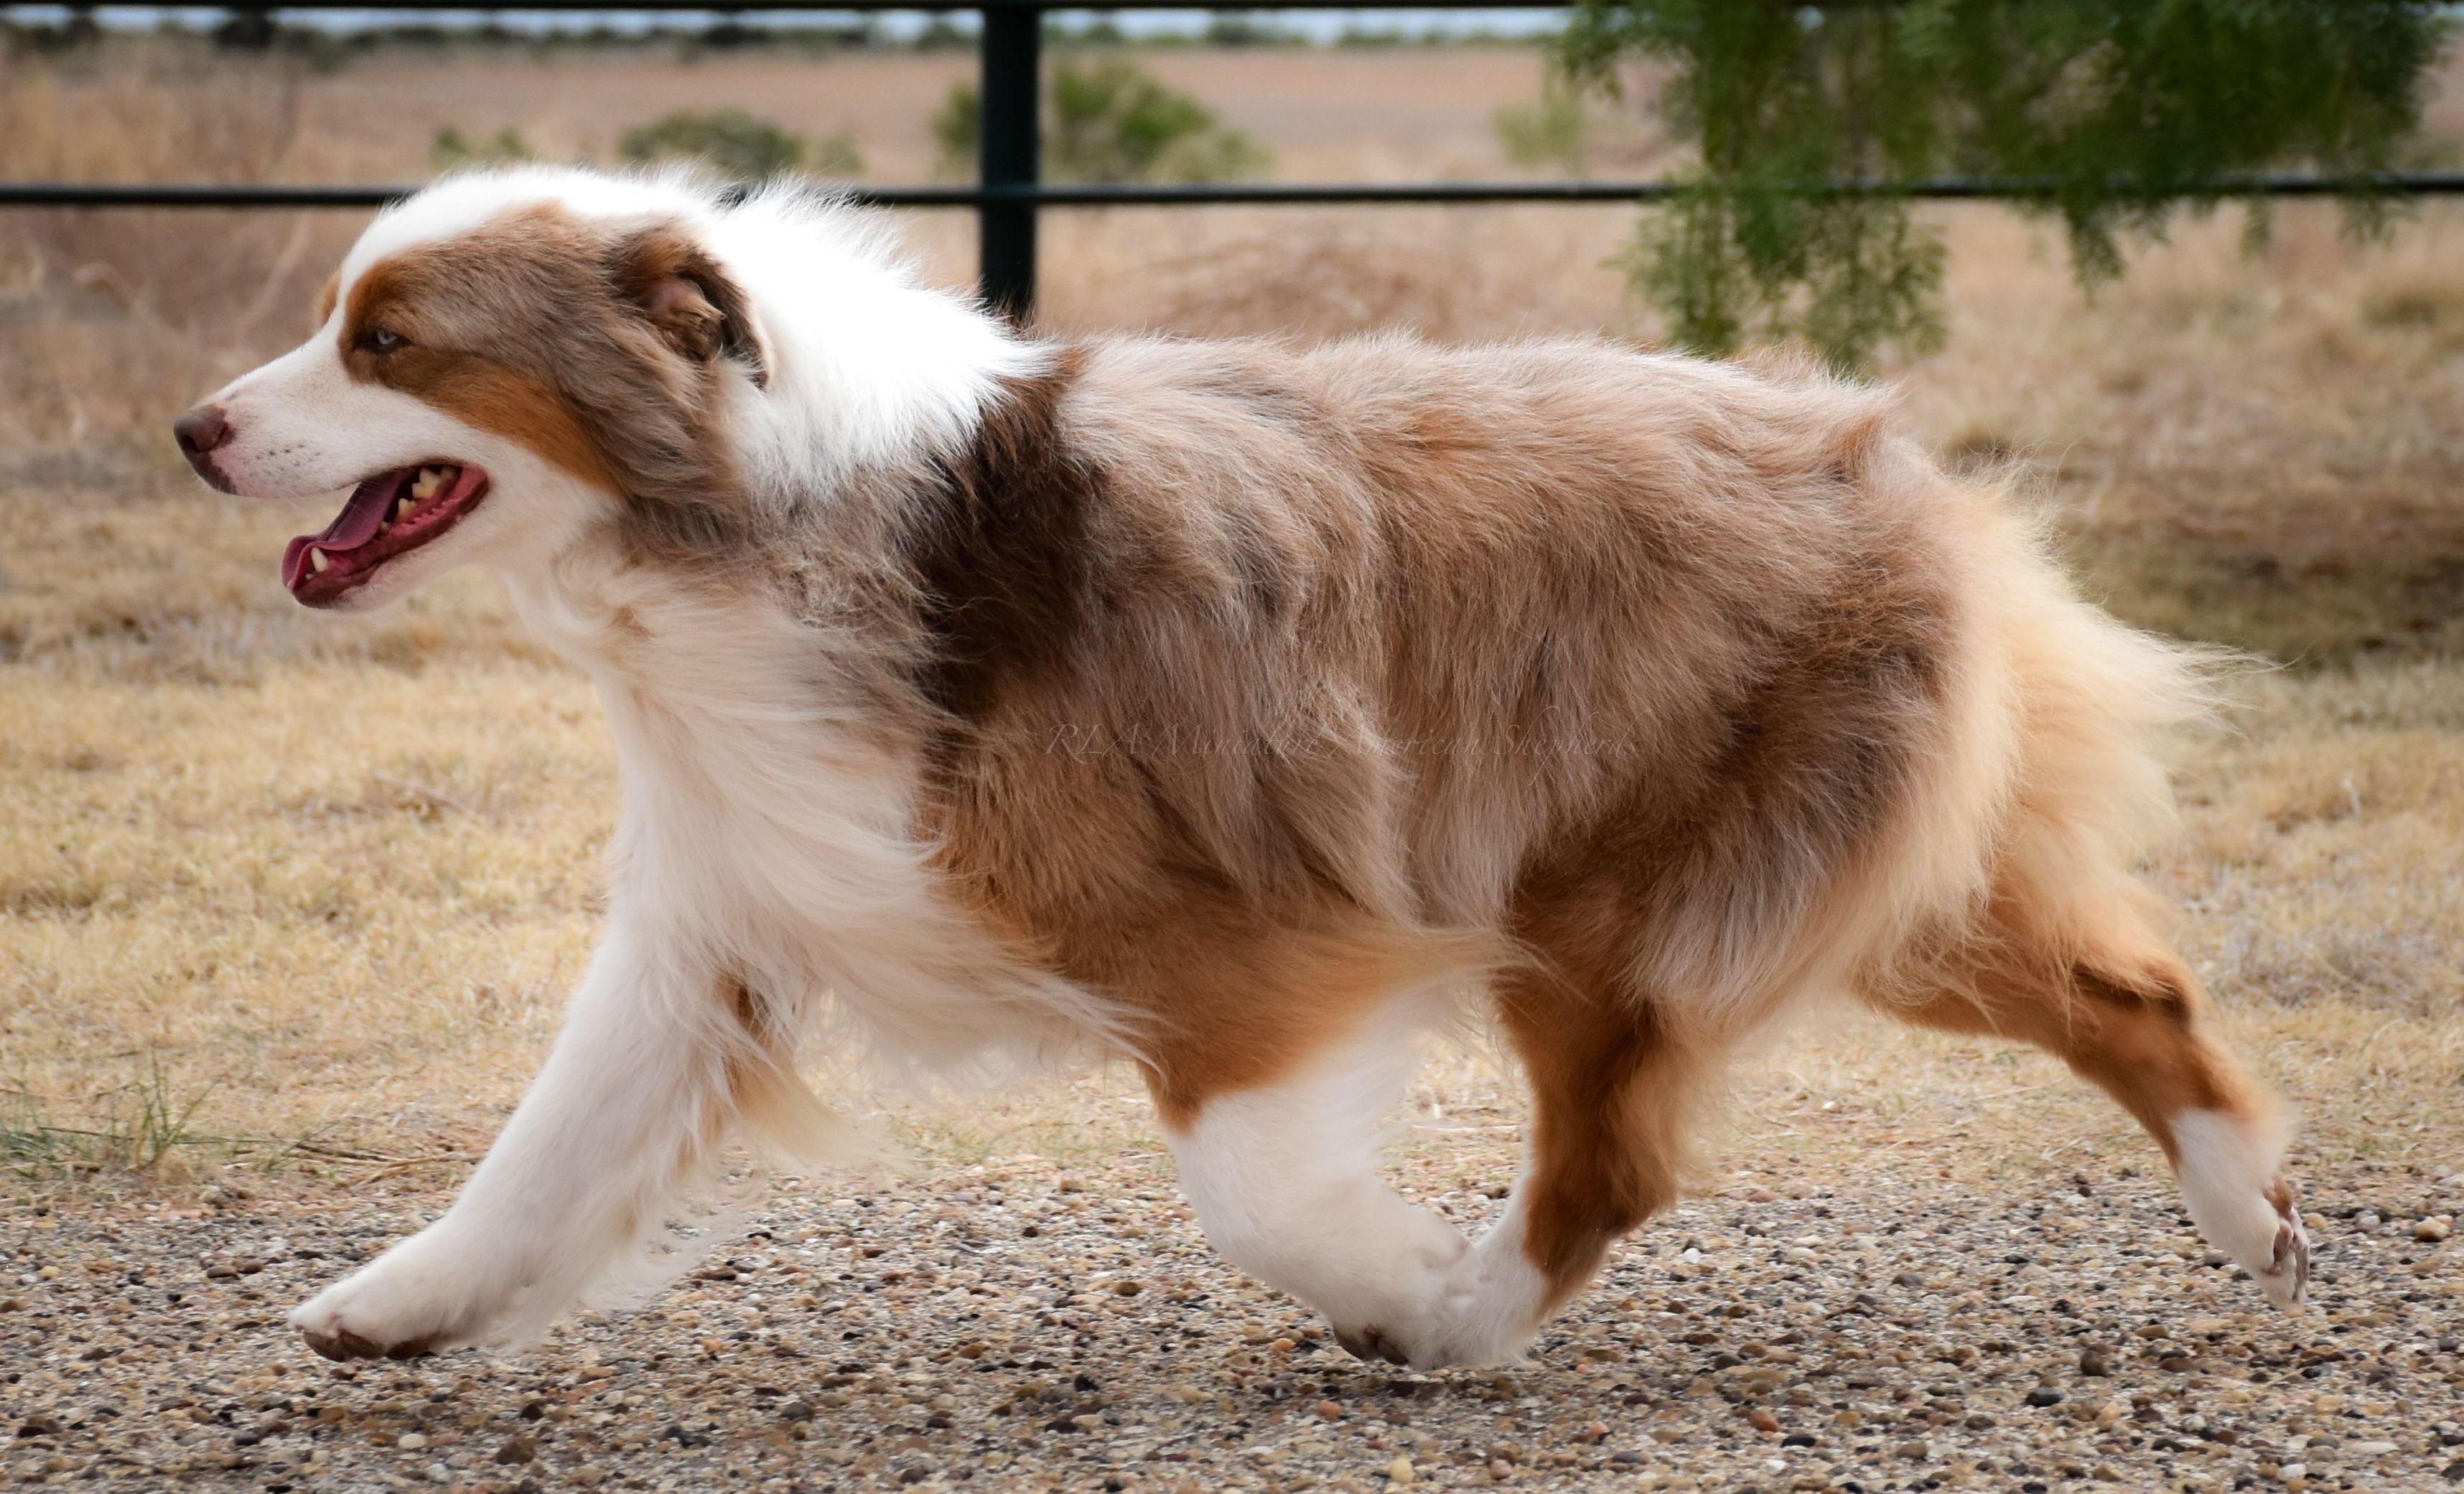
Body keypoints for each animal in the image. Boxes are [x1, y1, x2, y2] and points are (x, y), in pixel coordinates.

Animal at [178, 166, 2306, 1371]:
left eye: (388, 341)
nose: (196, 428)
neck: (757, 517)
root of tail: (1892, 459)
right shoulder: (729, 901)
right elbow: (550, 1143)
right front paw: (399, 1305)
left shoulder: (1235, 927)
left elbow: (1249, 1186)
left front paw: (1382, 1286)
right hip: (1853, 879)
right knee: (2133, 985)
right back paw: (2249, 1215)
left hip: (1603, 896)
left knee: (1610, 1161)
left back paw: (1466, 1325)